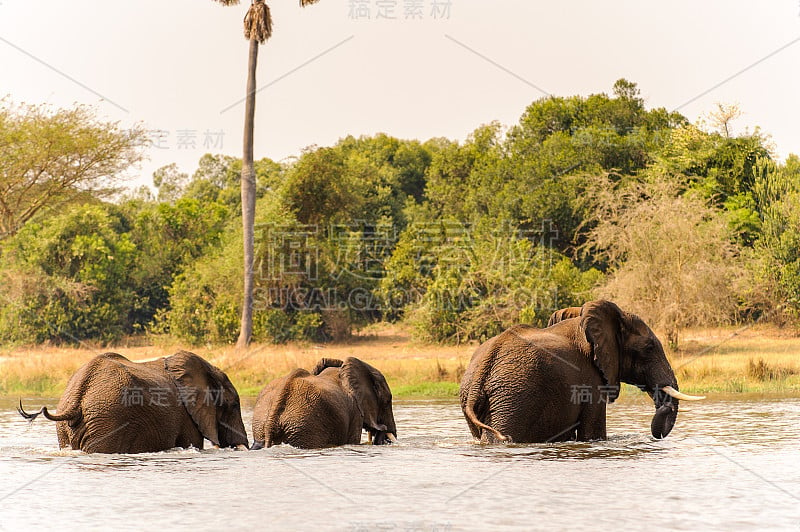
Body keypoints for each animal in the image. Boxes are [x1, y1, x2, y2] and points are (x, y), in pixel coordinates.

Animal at [460, 300, 704, 444]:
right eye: (649, 347)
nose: (664, 405)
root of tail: (482, 370)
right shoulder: (590, 378)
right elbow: (592, 432)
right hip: (513, 398)